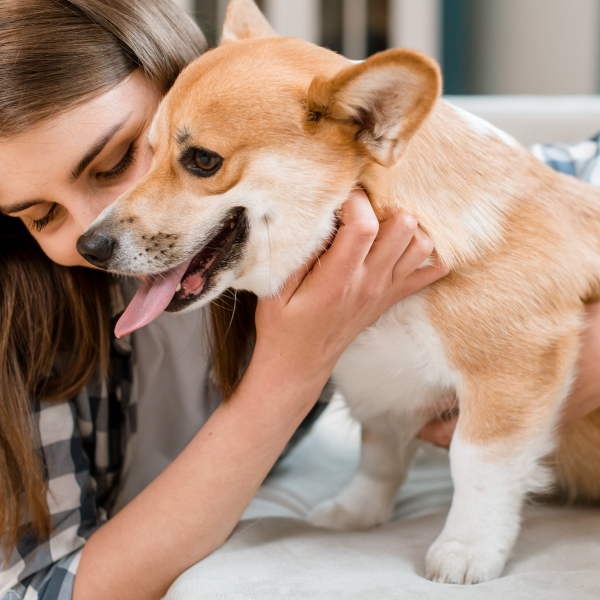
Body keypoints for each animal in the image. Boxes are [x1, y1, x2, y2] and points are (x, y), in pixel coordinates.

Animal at [77, 0, 600, 584]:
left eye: (203, 162)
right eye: (142, 155)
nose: (88, 246)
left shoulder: (513, 368)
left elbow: (476, 463)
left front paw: (466, 550)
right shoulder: (381, 390)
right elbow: (377, 455)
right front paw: (357, 512)